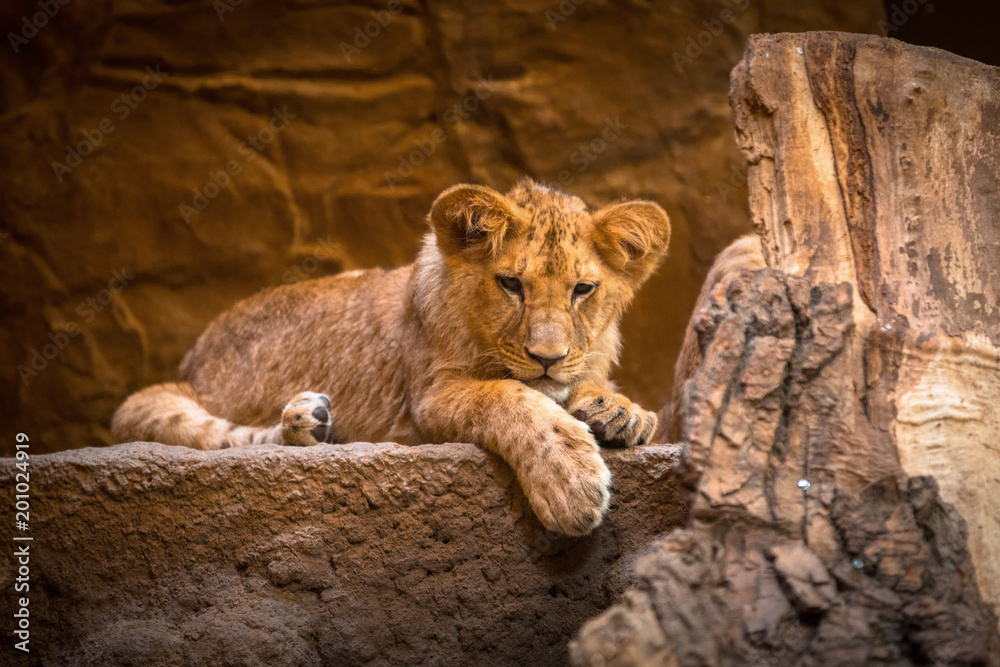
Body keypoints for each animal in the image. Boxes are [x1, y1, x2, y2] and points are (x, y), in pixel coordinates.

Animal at [111, 178, 671, 536]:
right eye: (511, 284)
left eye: (583, 289)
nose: (548, 357)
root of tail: (193, 361)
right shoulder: (427, 401)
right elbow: (510, 398)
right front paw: (570, 482)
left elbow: (587, 384)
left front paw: (620, 411)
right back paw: (306, 421)